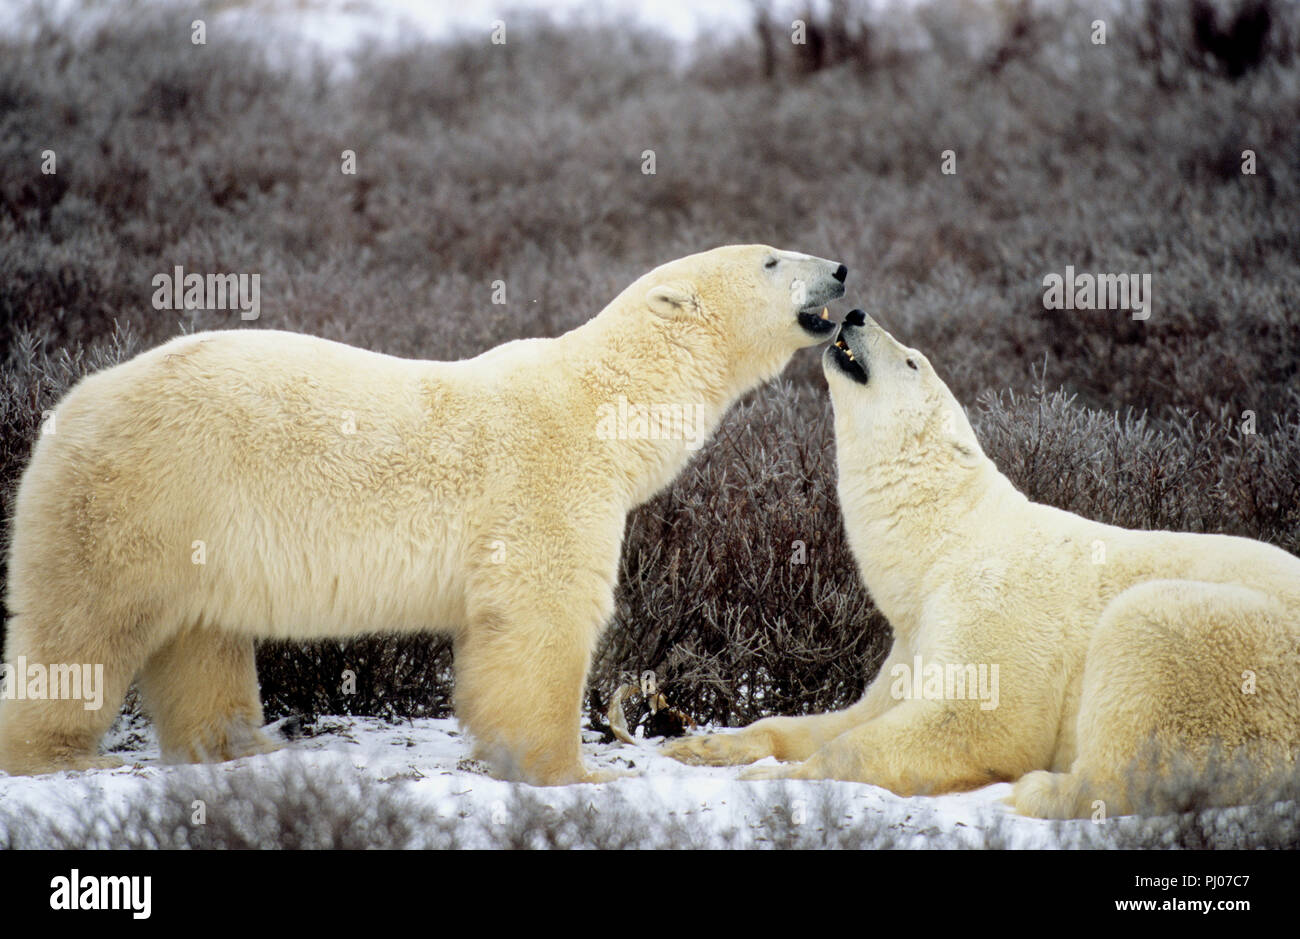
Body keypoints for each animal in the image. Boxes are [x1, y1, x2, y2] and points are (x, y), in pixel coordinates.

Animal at [0, 243, 847, 780]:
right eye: (771, 259)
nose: (840, 271)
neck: (599, 407)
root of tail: (66, 406)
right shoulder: (545, 485)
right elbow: (543, 622)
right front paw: (574, 772)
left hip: (200, 531)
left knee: (199, 636)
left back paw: (245, 746)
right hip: (143, 493)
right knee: (83, 624)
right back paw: (67, 753)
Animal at [670, 310, 1300, 816]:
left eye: (912, 360)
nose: (854, 313)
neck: (945, 543)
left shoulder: (990, 605)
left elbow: (974, 720)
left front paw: (780, 778)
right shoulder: (915, 637)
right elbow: (851, 715)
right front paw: (704, 744)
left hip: (1235, 655)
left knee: (1147, 652)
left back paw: (1041, 790)